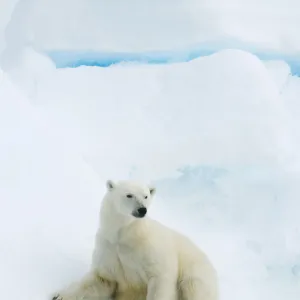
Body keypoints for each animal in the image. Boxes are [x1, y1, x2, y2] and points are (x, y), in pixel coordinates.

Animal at [52, 179, 218, 298]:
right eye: (129, 195)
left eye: (146, 196)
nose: (142, 209)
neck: (126, 235)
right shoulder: (109, 248)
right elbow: (100, 279)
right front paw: (58, 295)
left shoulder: (150, 250)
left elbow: (160, 277)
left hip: (195, 269)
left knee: (194, 288)